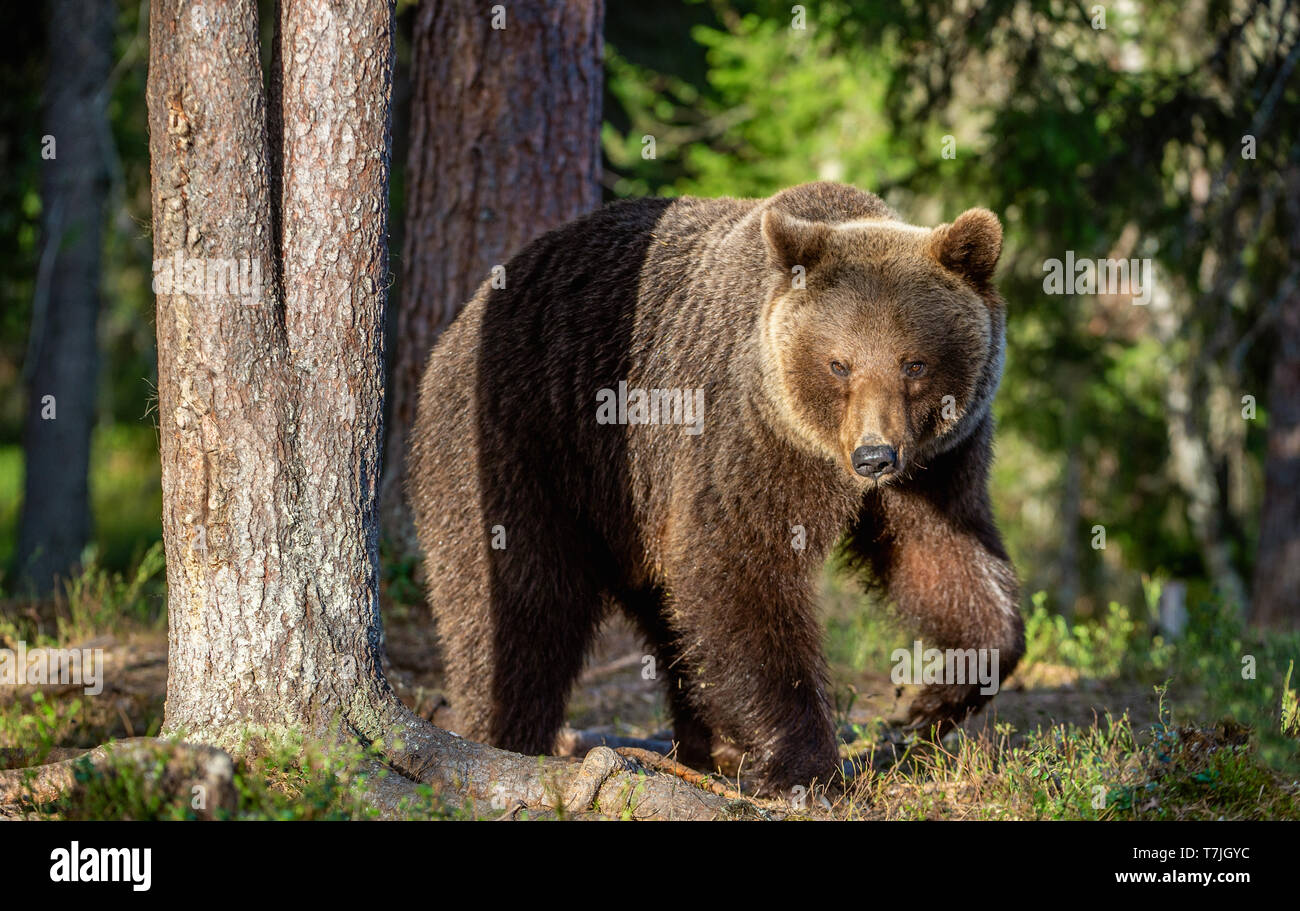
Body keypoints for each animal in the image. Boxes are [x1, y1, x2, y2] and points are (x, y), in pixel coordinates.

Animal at [410, 180, 1019, 790]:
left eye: (913, 363)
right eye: (838, 364)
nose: (874, 455)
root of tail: (459, 325)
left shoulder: (939, 463)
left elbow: (944, 559)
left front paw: (932, 699)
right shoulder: (747, 438)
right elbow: (737, 571)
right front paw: (806, 767)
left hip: (629, 507)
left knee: (670, 619)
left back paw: (711, 745)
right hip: (525, 444)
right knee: (517, 599)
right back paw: (504, 735)